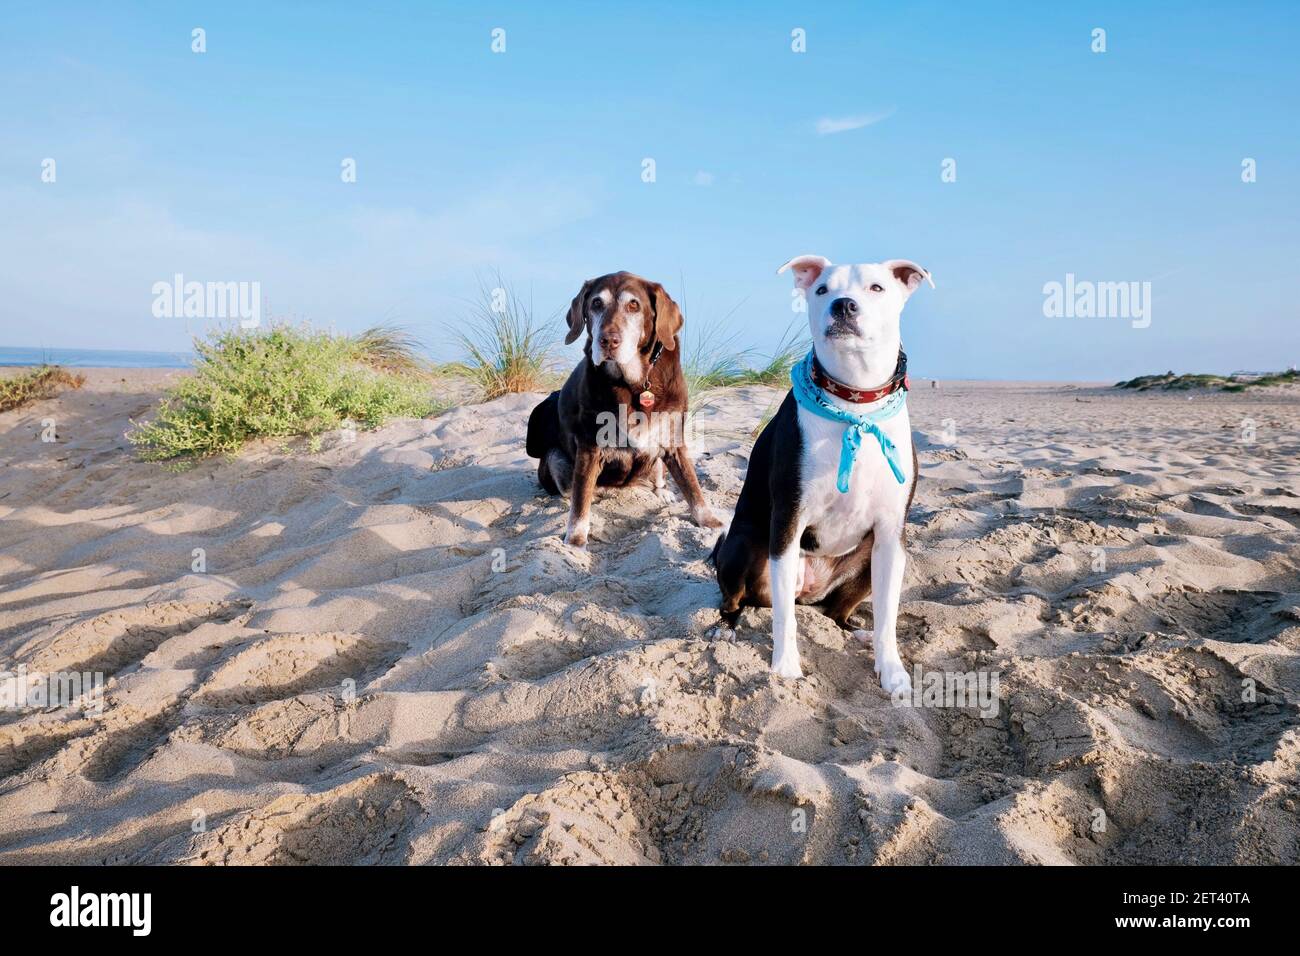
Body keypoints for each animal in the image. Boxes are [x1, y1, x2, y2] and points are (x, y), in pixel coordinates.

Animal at [525, 273, 722, 548]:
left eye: (633, 305)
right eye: (596, 303)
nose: (607, 340)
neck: (634, 383)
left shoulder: (673, 440)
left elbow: (693, 488)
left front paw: (711, 523)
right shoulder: (589, 447)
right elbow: (579, 503)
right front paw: (575, 541)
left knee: (658, 474)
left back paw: (661, 492)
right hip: (555, 457)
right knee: (573, 489)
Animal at [712, 254, 935, 691]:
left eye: (877, 288)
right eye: (821, 290)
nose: (843, 305)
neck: (856, 405)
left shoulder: (891, 535)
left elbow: (888, 616)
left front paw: (892, 670)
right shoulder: (787, 522)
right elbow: (785, 619)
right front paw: (785, 667)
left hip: (867, 560)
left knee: (834, 613)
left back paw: (857, 632)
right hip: (745, 543)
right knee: (736, 599)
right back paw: (727, 629)